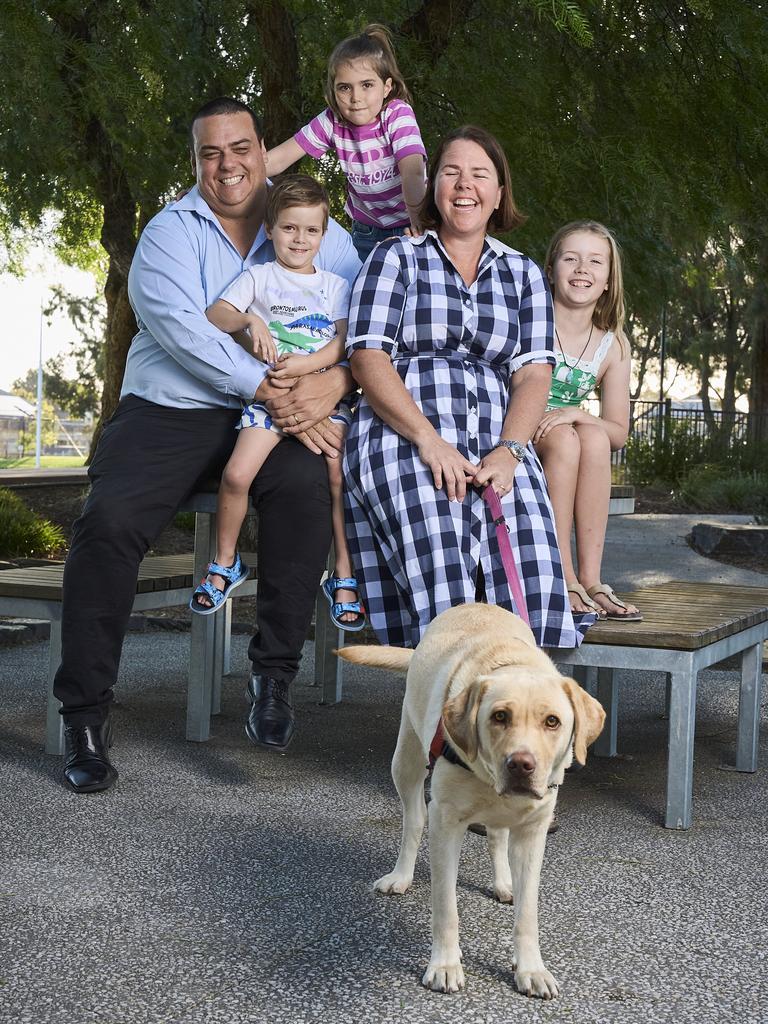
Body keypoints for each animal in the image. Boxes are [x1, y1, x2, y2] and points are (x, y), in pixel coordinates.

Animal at [339, 598, 606, 999]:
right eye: (500, 716)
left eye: (552, 721)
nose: (521, 764)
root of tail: (473, 602)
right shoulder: (446, 824)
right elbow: (445, 907)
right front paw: (445, 965)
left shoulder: (532, 833)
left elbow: (528, 913)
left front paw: (531, 969)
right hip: (406, 761)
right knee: (413, 821)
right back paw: (401, 875)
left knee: (496, 836)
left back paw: (504, 883)